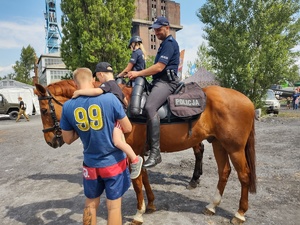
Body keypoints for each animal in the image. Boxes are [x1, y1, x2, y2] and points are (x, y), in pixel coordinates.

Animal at [34, 78, 255, 223]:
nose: (50, 140)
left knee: (244, 175)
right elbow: (144, 177)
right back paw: (212, 205)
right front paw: (150, 205)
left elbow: (137, 182)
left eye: (44, 110)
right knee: (224, 172)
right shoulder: (140, 153)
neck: (119, 103)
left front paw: (139, 213)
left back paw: (239, 213)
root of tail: (248, 101)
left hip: (234, 148)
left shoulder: (132, 151)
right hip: (219, 144)